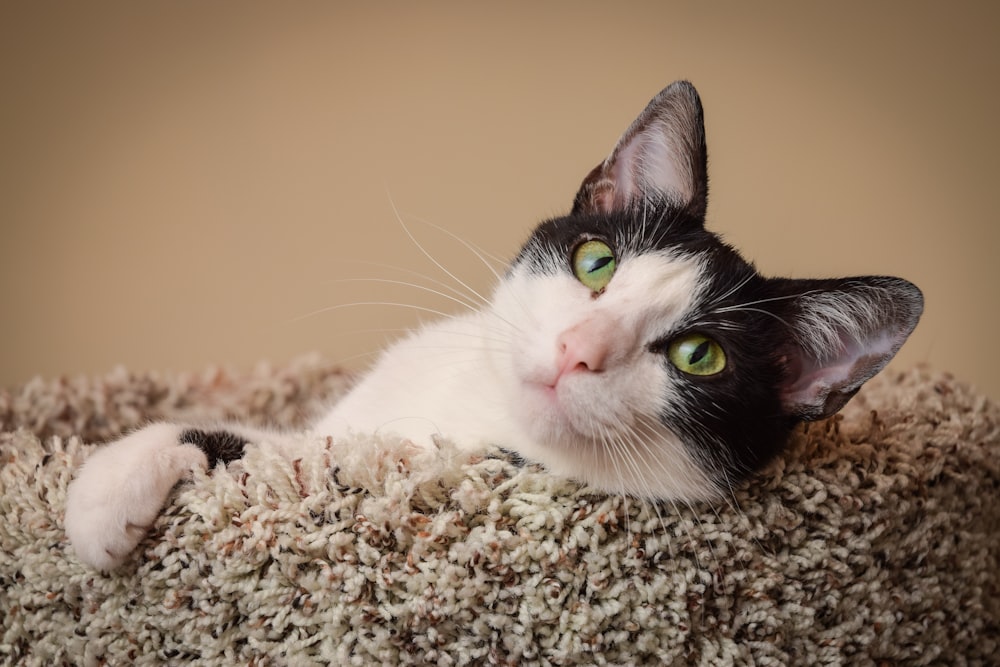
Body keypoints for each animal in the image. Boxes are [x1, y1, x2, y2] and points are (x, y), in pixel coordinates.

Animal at [64, 81, 920, 572]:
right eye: (596, 262)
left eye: (698, 355)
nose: (578, 351)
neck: (477, 411)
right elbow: (273, 445)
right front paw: (113, 478)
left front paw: (92, 506)